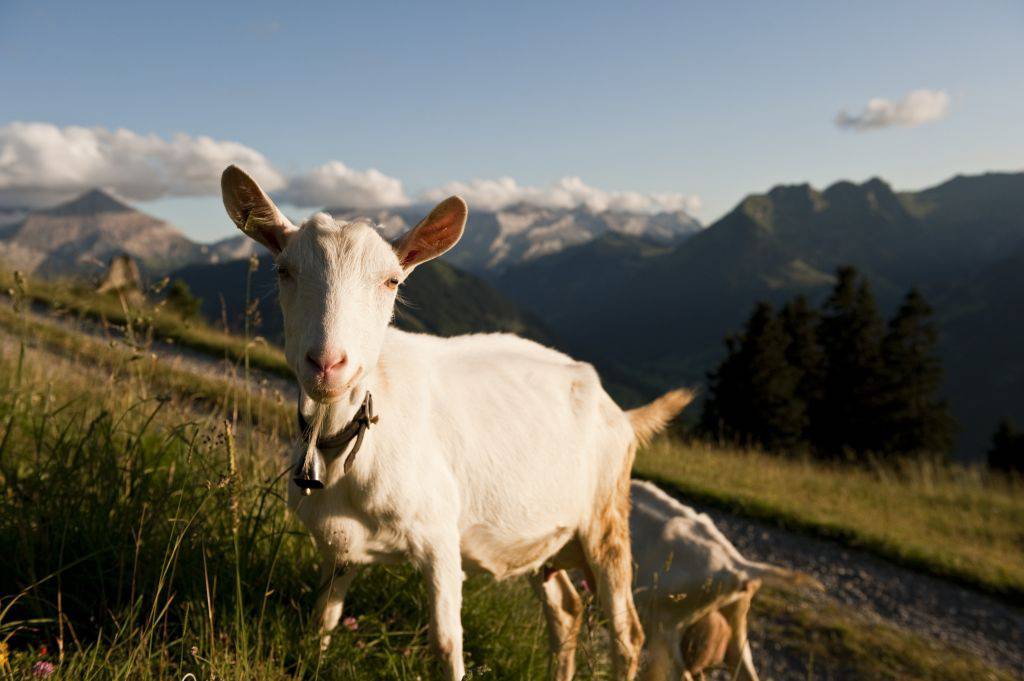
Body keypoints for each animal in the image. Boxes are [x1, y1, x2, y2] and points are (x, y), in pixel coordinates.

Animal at [220, 165, 692, 679]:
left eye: (391, 281)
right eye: (283, 270)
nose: (328, 363)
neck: (348, 442)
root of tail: (619, 412)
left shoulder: (440, 535)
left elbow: (446, 643)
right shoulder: (338, 545)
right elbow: (322, 620)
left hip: (606, 518)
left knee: (627, 633)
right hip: (547, 538)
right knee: (566, 611)